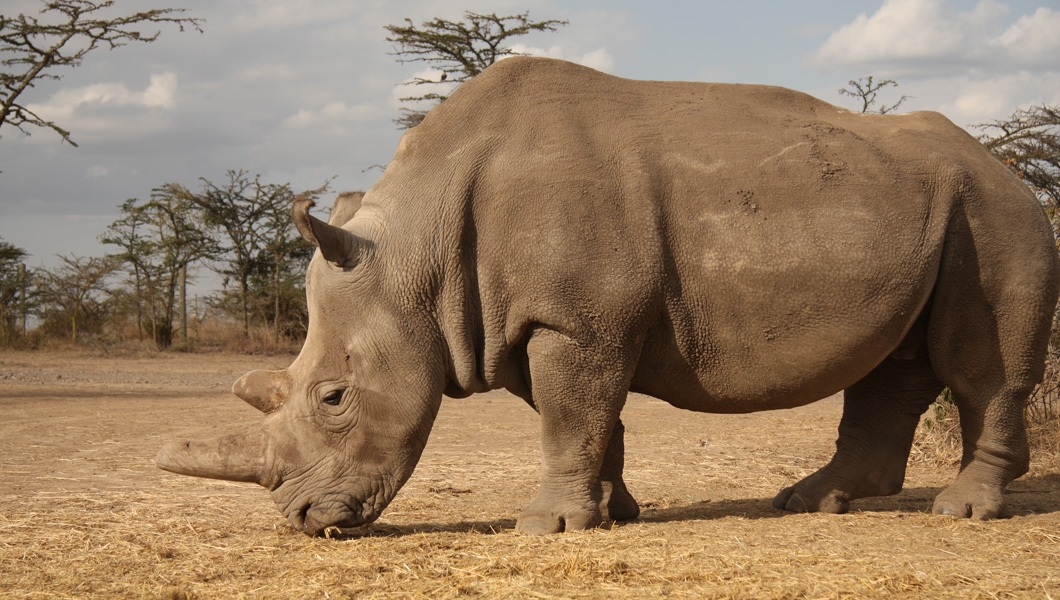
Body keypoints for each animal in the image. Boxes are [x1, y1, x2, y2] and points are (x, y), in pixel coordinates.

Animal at [156, 56, 1060, 536]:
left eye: (335, 398)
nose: (307, 520)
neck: (414, 254)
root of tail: (1007, 165)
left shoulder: (572, 322)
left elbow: (571, 416)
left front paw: (543, 529)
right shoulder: (543, 321)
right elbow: (592, 420)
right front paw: (611, 513)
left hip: (996, 214)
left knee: (981, 368)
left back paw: (962, 513)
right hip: (933, 210)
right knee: (894, 363)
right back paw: (809, 503)